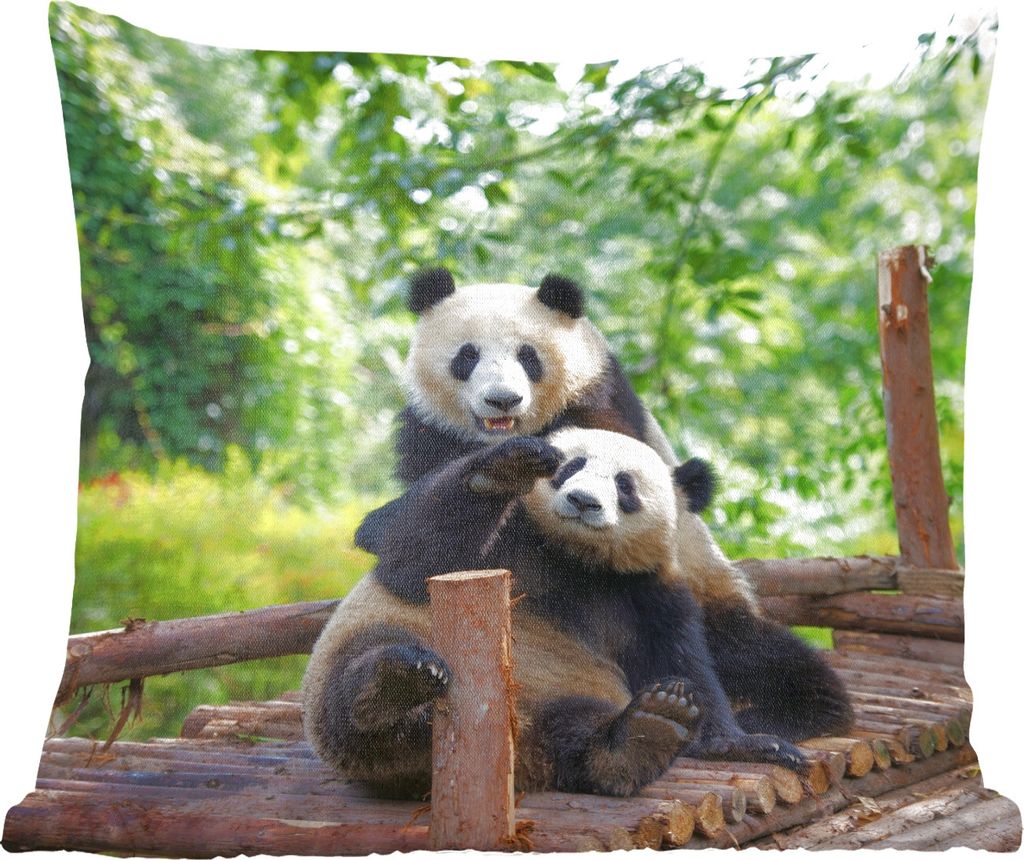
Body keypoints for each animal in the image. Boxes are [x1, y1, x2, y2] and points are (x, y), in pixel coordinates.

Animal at [304, 428, 825, 799]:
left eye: (624, 485)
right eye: (571, 466)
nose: (582, 501)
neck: (575, 558)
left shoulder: (647, 593)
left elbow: (680, 661)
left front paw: (744, 741)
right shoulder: (510, 541)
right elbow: (415, 564)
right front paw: (504, 468)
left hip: (565, 696)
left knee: (577, 734)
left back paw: (644, 734)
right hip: (376, 648)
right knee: (359, 685)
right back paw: (393, 687)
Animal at [355, 267, 852, 743]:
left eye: (528, 356)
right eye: (467, 356)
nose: (503, 399)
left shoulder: (599, 405)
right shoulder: (430, 433)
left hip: (712, 595)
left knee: (771, 660)